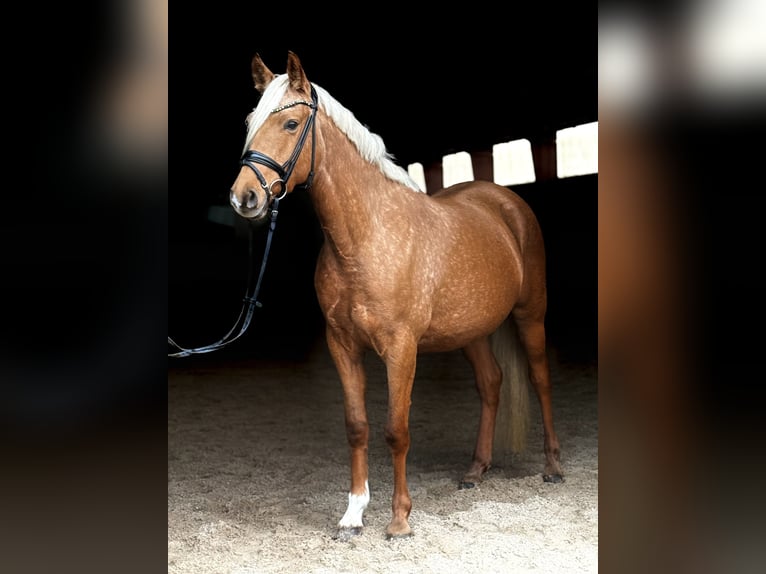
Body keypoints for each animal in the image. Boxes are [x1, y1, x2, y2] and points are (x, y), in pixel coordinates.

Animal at [229, 51, 563, 540]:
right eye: (251, 122)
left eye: (291, 124)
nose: (245, 197)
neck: (366, 235)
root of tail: (504, 202)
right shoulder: (342, 346)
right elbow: (357, 426)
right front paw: (353, 514)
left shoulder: (401, 349)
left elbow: (396, 430)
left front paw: (400, 519)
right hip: (472, 330)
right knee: (491, 383)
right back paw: (475, 471)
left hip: (530, 314)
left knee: (539, 379)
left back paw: (553, 467)